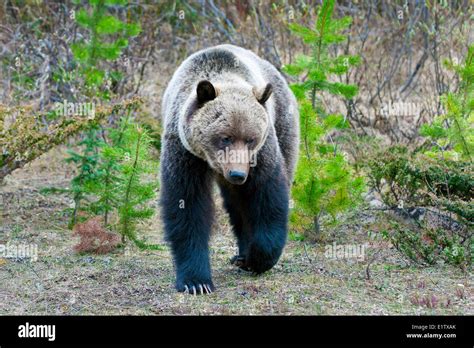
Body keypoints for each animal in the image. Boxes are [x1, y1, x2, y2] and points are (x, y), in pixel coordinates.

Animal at [161, 43, 298, 294]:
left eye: (251, 139)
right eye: (225, 137)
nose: (238, 174)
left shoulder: (260, 155)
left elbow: (267, 197)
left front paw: (256, 259)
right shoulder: (185, 154)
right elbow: (187, 205)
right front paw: (197, 281)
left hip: (284, 123)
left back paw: (243, 255)